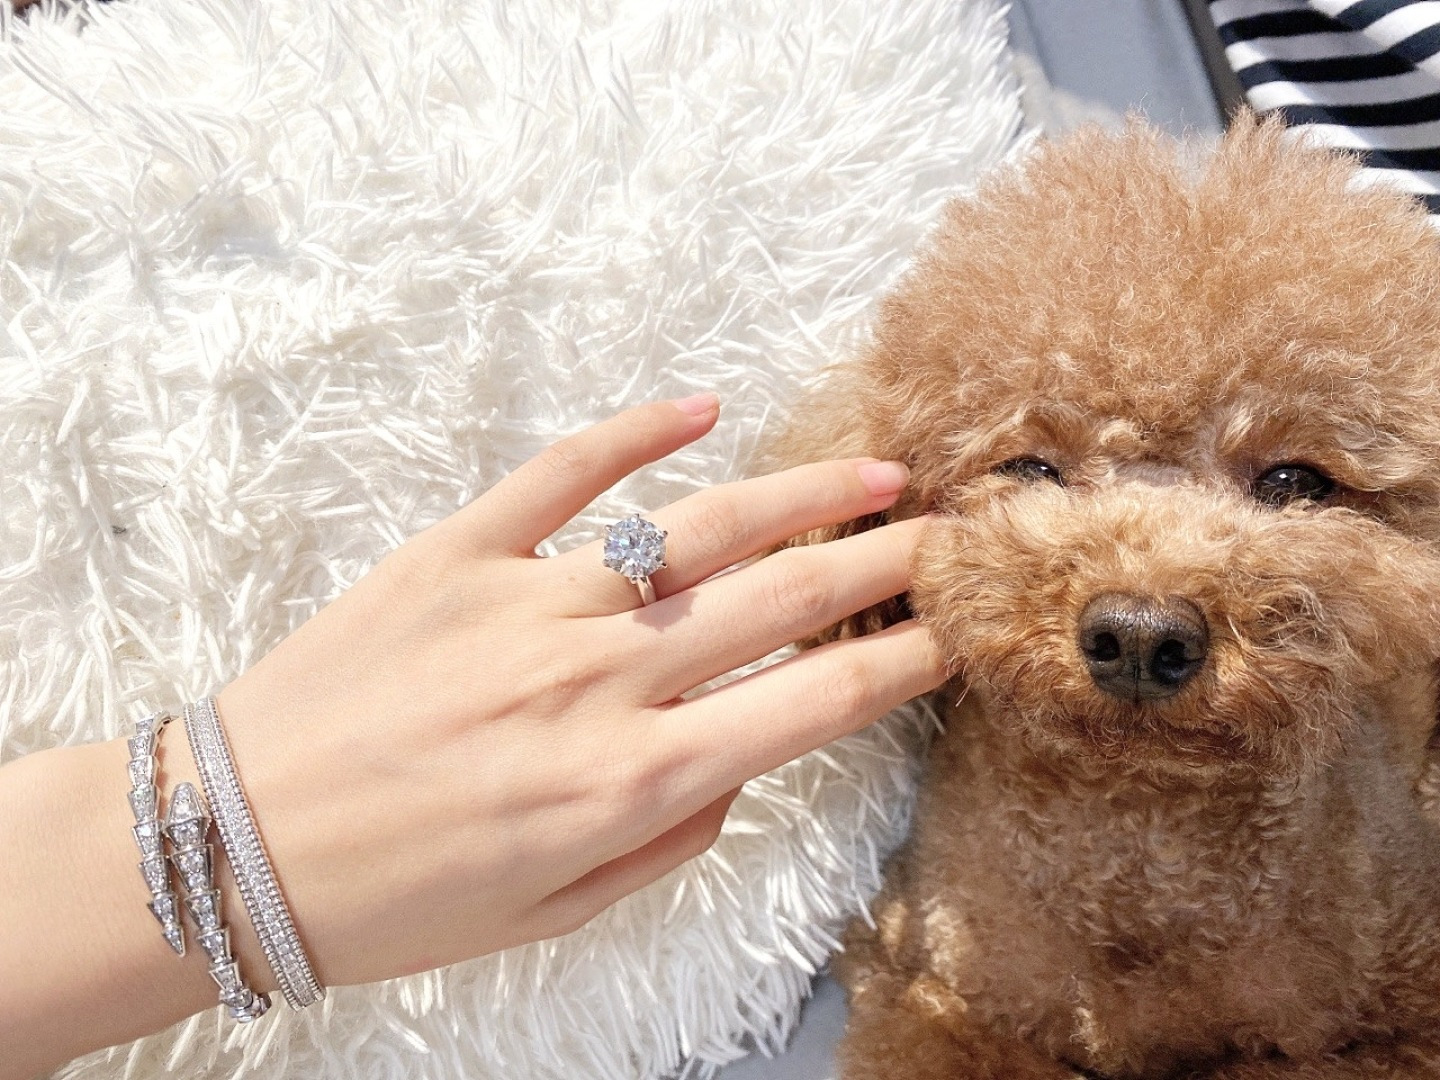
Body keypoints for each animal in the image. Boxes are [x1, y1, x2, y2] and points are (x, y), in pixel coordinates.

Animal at [773, 115, 1440, 1078]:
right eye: (1029, 469)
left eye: (1293, 482)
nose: (1140, 637)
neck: (1137, 831)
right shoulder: (913, 978)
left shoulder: (1410, 1001)